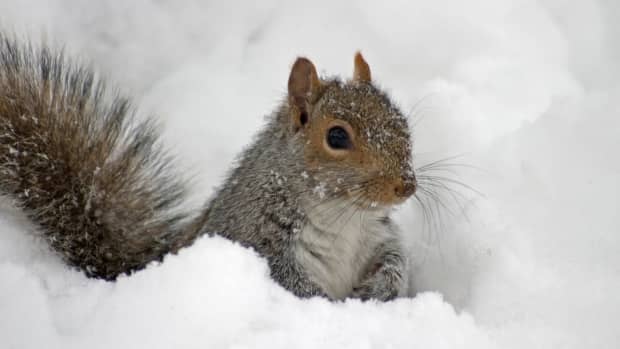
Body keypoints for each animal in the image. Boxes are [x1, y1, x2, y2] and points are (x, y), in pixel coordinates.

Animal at [1, 36, 416, 302]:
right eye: (337, 136)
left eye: (401, 119)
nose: (406, 186)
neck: (343, 214)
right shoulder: (255, 237)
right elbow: (289, 283)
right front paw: (325, 304)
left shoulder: (376, 237)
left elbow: (396, 261)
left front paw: (382, 287)